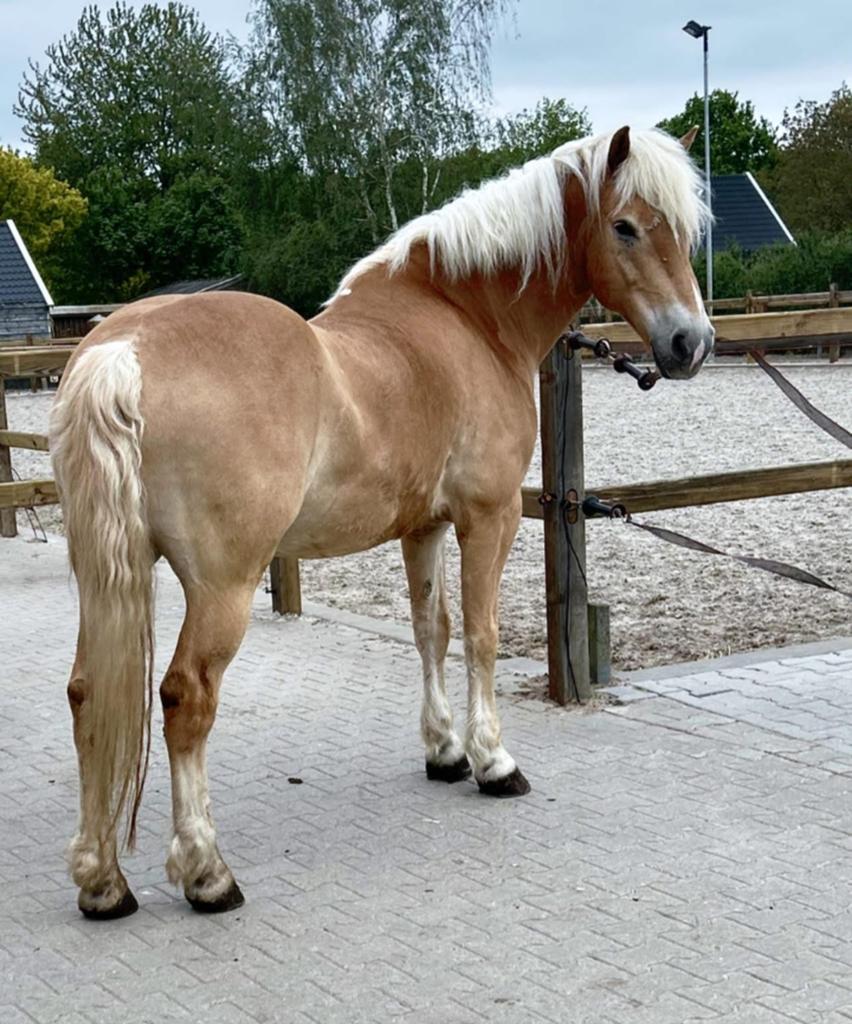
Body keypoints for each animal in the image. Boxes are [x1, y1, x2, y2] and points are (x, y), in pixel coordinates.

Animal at [50, 125, 713, 919]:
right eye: (626, 227)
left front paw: (445, 752)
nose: (691, 344)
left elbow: (433, 632)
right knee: (186, 699)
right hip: (222, 587)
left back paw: (102, 880)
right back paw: (207, 873)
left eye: (686, 231)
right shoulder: (488, 517)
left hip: (104, 576)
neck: (467, 318)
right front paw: (493, 761)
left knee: (88, 693)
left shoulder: (422, 527)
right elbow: (482, 636)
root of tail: (123, 352)